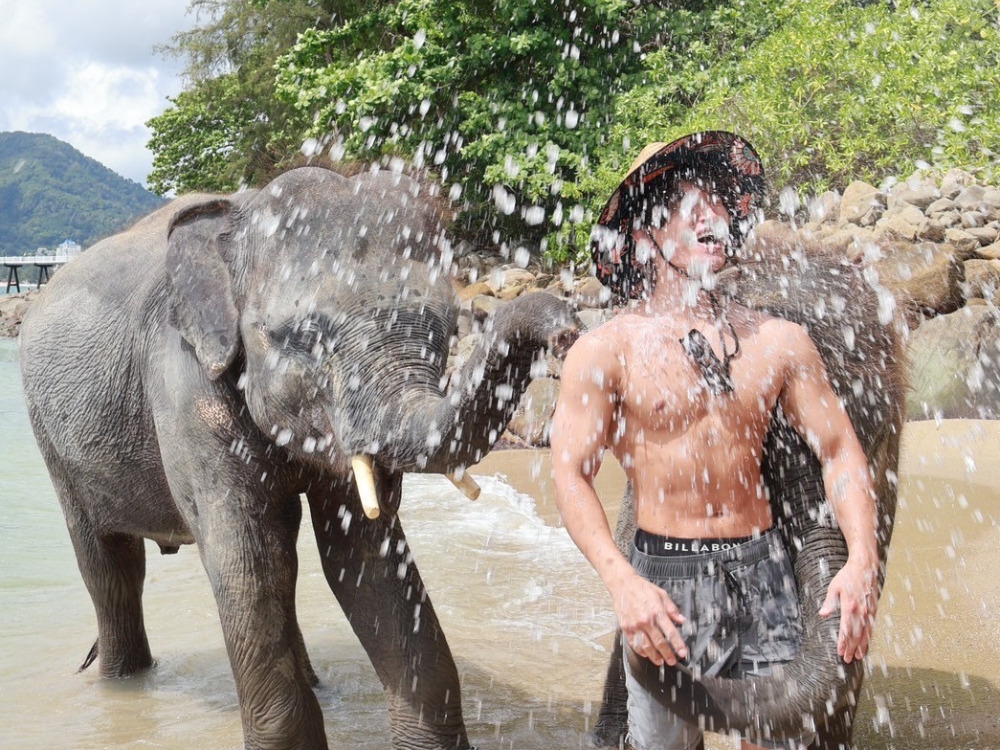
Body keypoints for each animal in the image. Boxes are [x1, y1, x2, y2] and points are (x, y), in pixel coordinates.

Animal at [19, 167, 580, 750]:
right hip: (52, 440)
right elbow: (246, 564)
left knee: (281, 560)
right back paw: (121, 682)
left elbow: (364, 557)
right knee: (111, 566)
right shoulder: (184, 386)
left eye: (446, 330)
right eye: (309, 337)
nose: (566, 325)